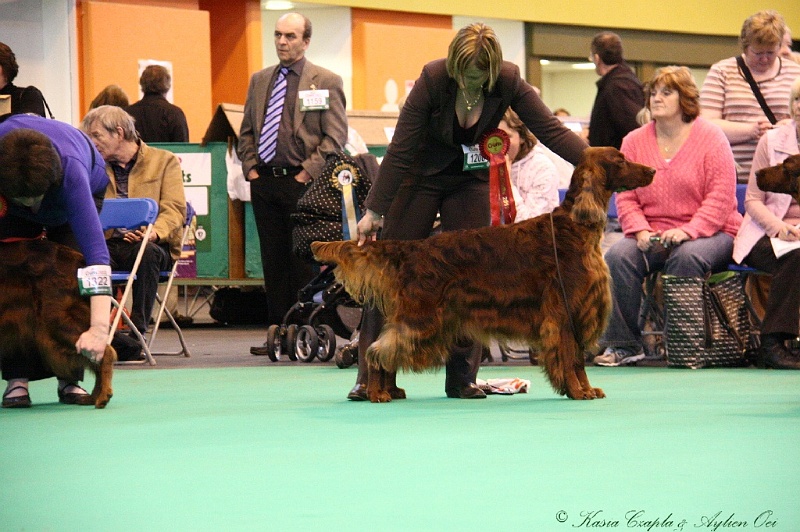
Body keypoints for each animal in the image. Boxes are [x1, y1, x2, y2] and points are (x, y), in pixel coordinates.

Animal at [312, 147, 656, 404]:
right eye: (620, 160)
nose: (652, 171)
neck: (574, 227)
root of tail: (410, 248)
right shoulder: (563, 311)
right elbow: (570, 358)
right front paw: (576, 390)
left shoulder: (579, 311)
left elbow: (578, 361)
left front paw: (585, 389)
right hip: (421, 319)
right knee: (376, 350)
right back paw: (376, 392)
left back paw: (390, 390)